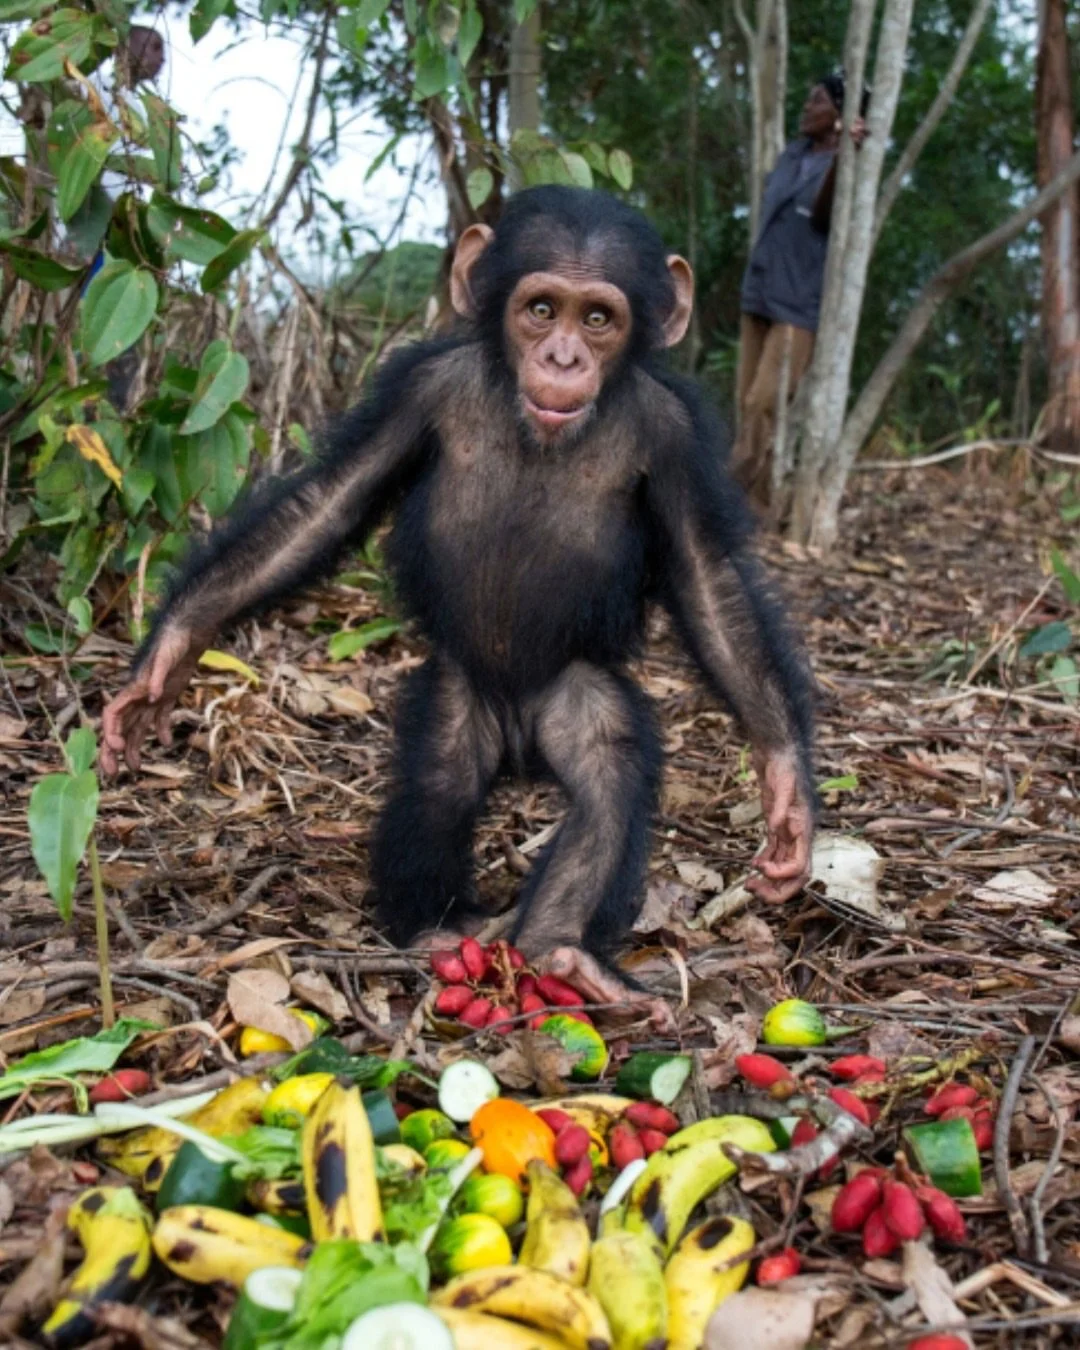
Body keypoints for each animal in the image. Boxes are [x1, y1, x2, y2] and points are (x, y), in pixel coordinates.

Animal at [101, 186, 815, 1024]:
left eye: (598, 319)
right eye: (541, 309)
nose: (564, 358)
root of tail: (519, 738)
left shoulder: (675, 438)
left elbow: (708, 579)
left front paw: (786, 792)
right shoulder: (420, 386)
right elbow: (328, 503)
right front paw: (171, 655)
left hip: (570, 694)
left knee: (608, 774)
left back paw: (560, 951)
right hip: (458, 689)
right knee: (437, 783)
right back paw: (433, 928)